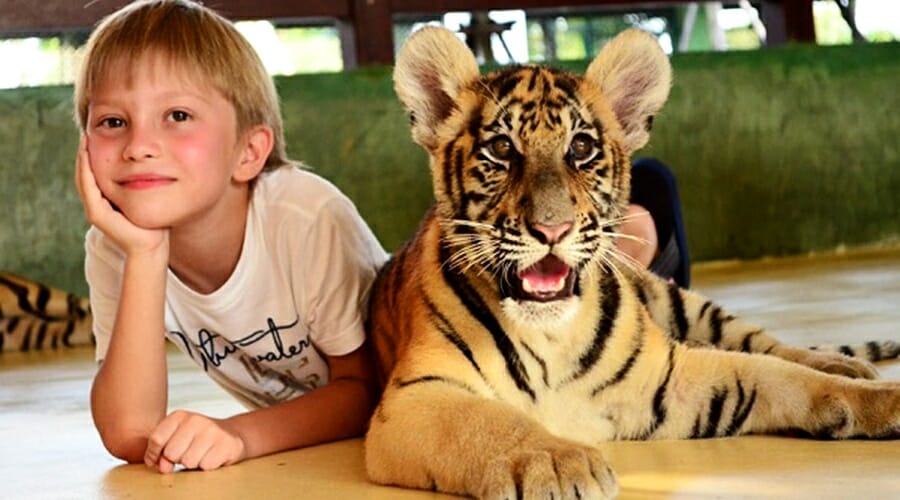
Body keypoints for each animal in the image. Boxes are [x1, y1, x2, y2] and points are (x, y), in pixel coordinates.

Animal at [362, 26, 900, 499]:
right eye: (501, 149)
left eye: (580, 148)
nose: (552, 230)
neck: (550, 336)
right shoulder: (417, 396)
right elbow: (489, 422)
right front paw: (557, 462)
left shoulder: (669, 377)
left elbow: (781, 376)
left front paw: (882, 399)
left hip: (683, 301)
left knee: (768, 344)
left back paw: (845, 362)